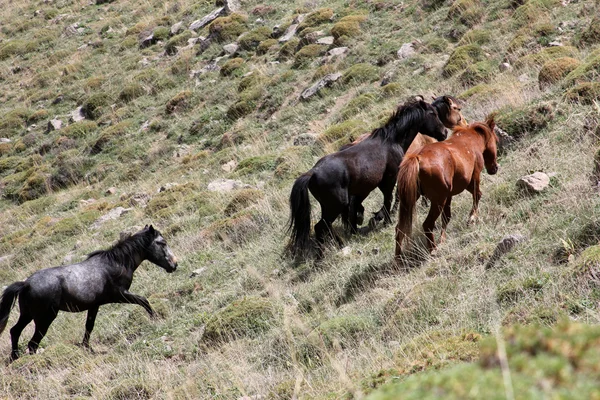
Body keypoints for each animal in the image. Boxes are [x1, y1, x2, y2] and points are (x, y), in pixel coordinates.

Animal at [0, 225, 178, 362]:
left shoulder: (95, 305)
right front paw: (155, 318)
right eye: (162, 242)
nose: (174, 265)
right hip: (44, 318)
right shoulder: (120, 295)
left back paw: (14, 357)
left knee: (15, 331)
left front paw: (87, 348)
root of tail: (25, 284)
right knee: (32, 343)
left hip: (27, 315)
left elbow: (89, 327)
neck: (117, 263)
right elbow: (143, 300)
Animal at [288, 98, 448, 258]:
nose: (444, 133)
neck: (392, 142)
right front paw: (385, 220)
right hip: (335, 205)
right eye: (433, 113)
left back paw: (341, 243)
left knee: (326, 226)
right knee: (320, 227)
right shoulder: (389, 179)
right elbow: (389, 199)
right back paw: (323, 254)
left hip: (329, 206)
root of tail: (312, 173)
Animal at [396, 117, 500, 258]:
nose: (495, 168)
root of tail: (417, 158)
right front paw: (472, 218)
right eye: (495, 140)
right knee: (427, 224)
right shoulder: (473, 178)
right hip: (438, 201)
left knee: (399, 229)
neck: (470, 140)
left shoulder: (450, 193)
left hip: (412, 201)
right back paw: (433, 250)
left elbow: (446, 217)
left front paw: (443, 239)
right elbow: (477, 195)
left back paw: (398, 258)